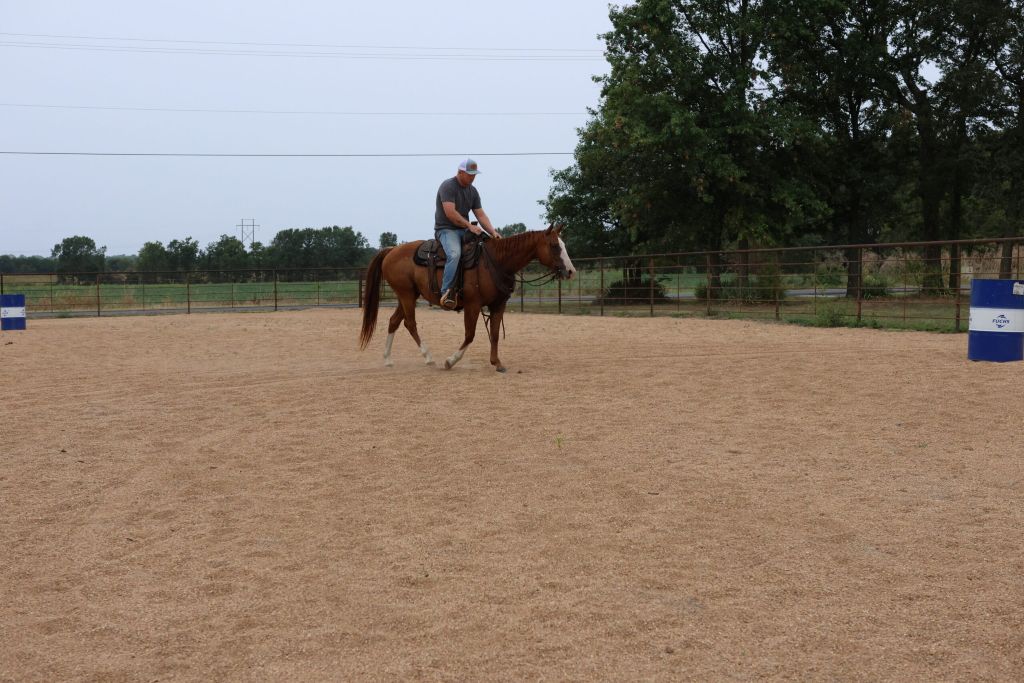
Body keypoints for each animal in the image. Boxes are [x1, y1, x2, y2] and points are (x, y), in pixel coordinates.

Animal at [359, 225, 576, 372]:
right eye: (555, 246)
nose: (571, 271)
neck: (496, 261)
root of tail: (391, 250)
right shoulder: (473, 305)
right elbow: (470, 335)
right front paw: (450, 361)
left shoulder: (498, 305)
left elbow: (495, 334)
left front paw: (497, 363)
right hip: (406, 295)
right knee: (410, 323)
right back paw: (428, 357)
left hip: (407, 296)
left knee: (394, 321)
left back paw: (388, 359)